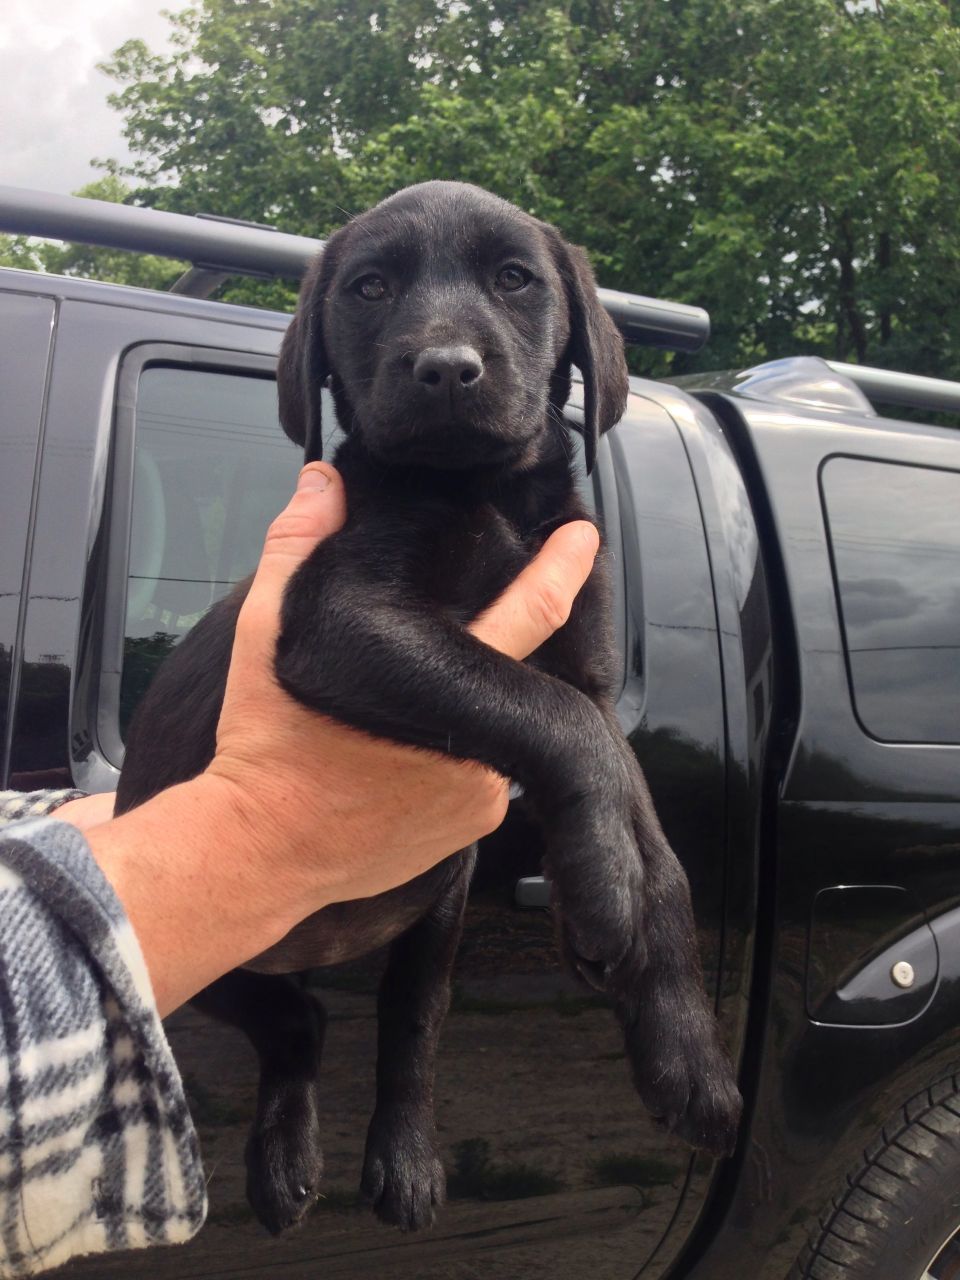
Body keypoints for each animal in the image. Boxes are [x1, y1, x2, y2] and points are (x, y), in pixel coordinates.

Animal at [116, 177, 742, 1228]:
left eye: (516, 279)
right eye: (369, 287)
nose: (446, 369)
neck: (483, 492)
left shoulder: (587, 671)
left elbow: (655, 842)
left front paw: (685, 1052)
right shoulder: (345, 619)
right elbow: (554, 719)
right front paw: (601, 887)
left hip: (438, 912)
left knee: (408, 1023)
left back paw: (403, 1161)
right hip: (212, 959)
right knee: (300, 1022)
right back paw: (286, 1163)